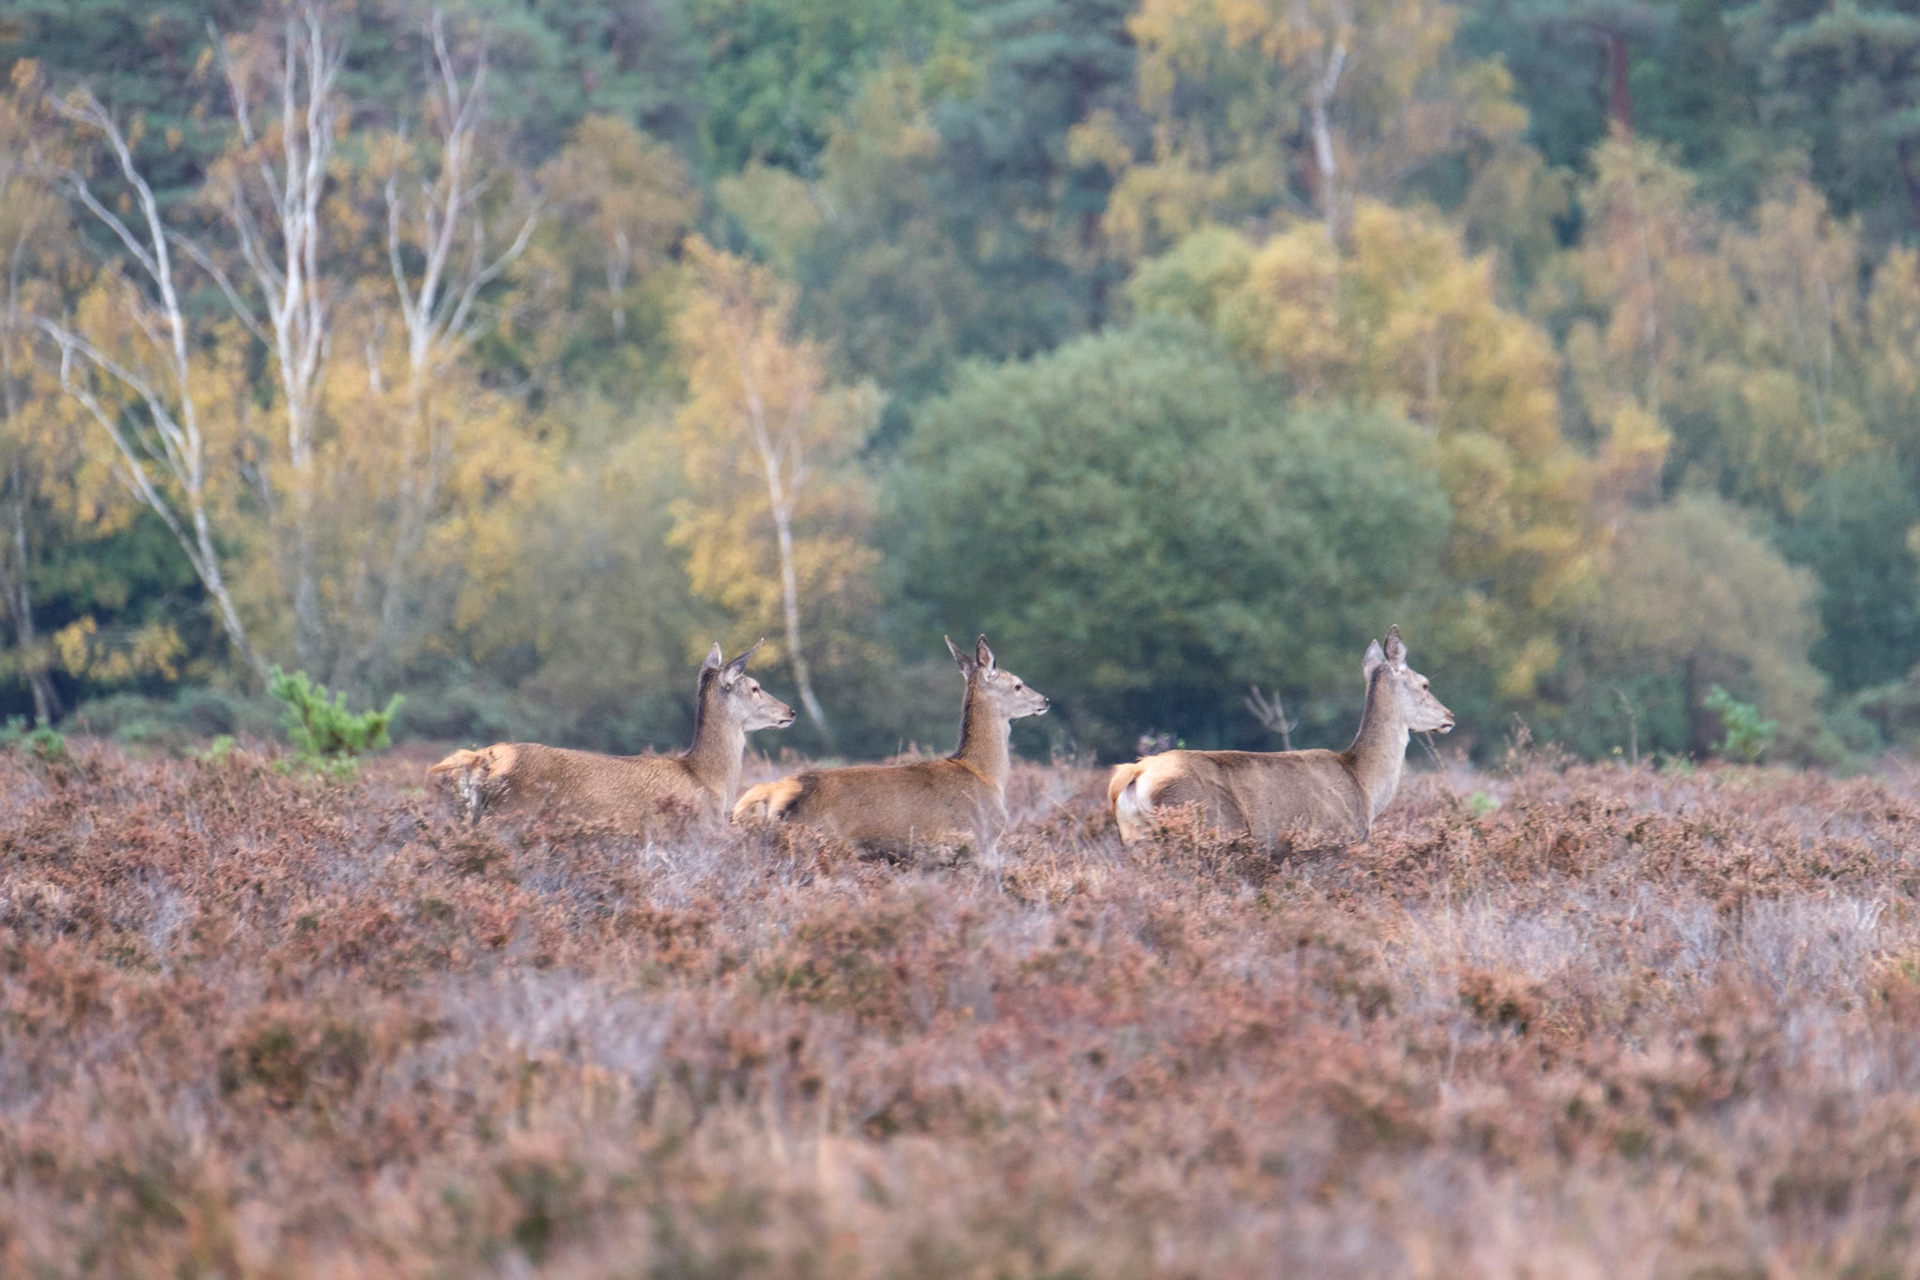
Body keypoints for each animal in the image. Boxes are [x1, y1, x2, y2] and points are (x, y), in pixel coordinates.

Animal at [1108, 625, 1452, 851]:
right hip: (1207, 826)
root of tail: (1135, 773)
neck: (1364, 784)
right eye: (1424, 683)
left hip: (1136, 839)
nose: (1449, 716)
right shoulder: (1337, 839)